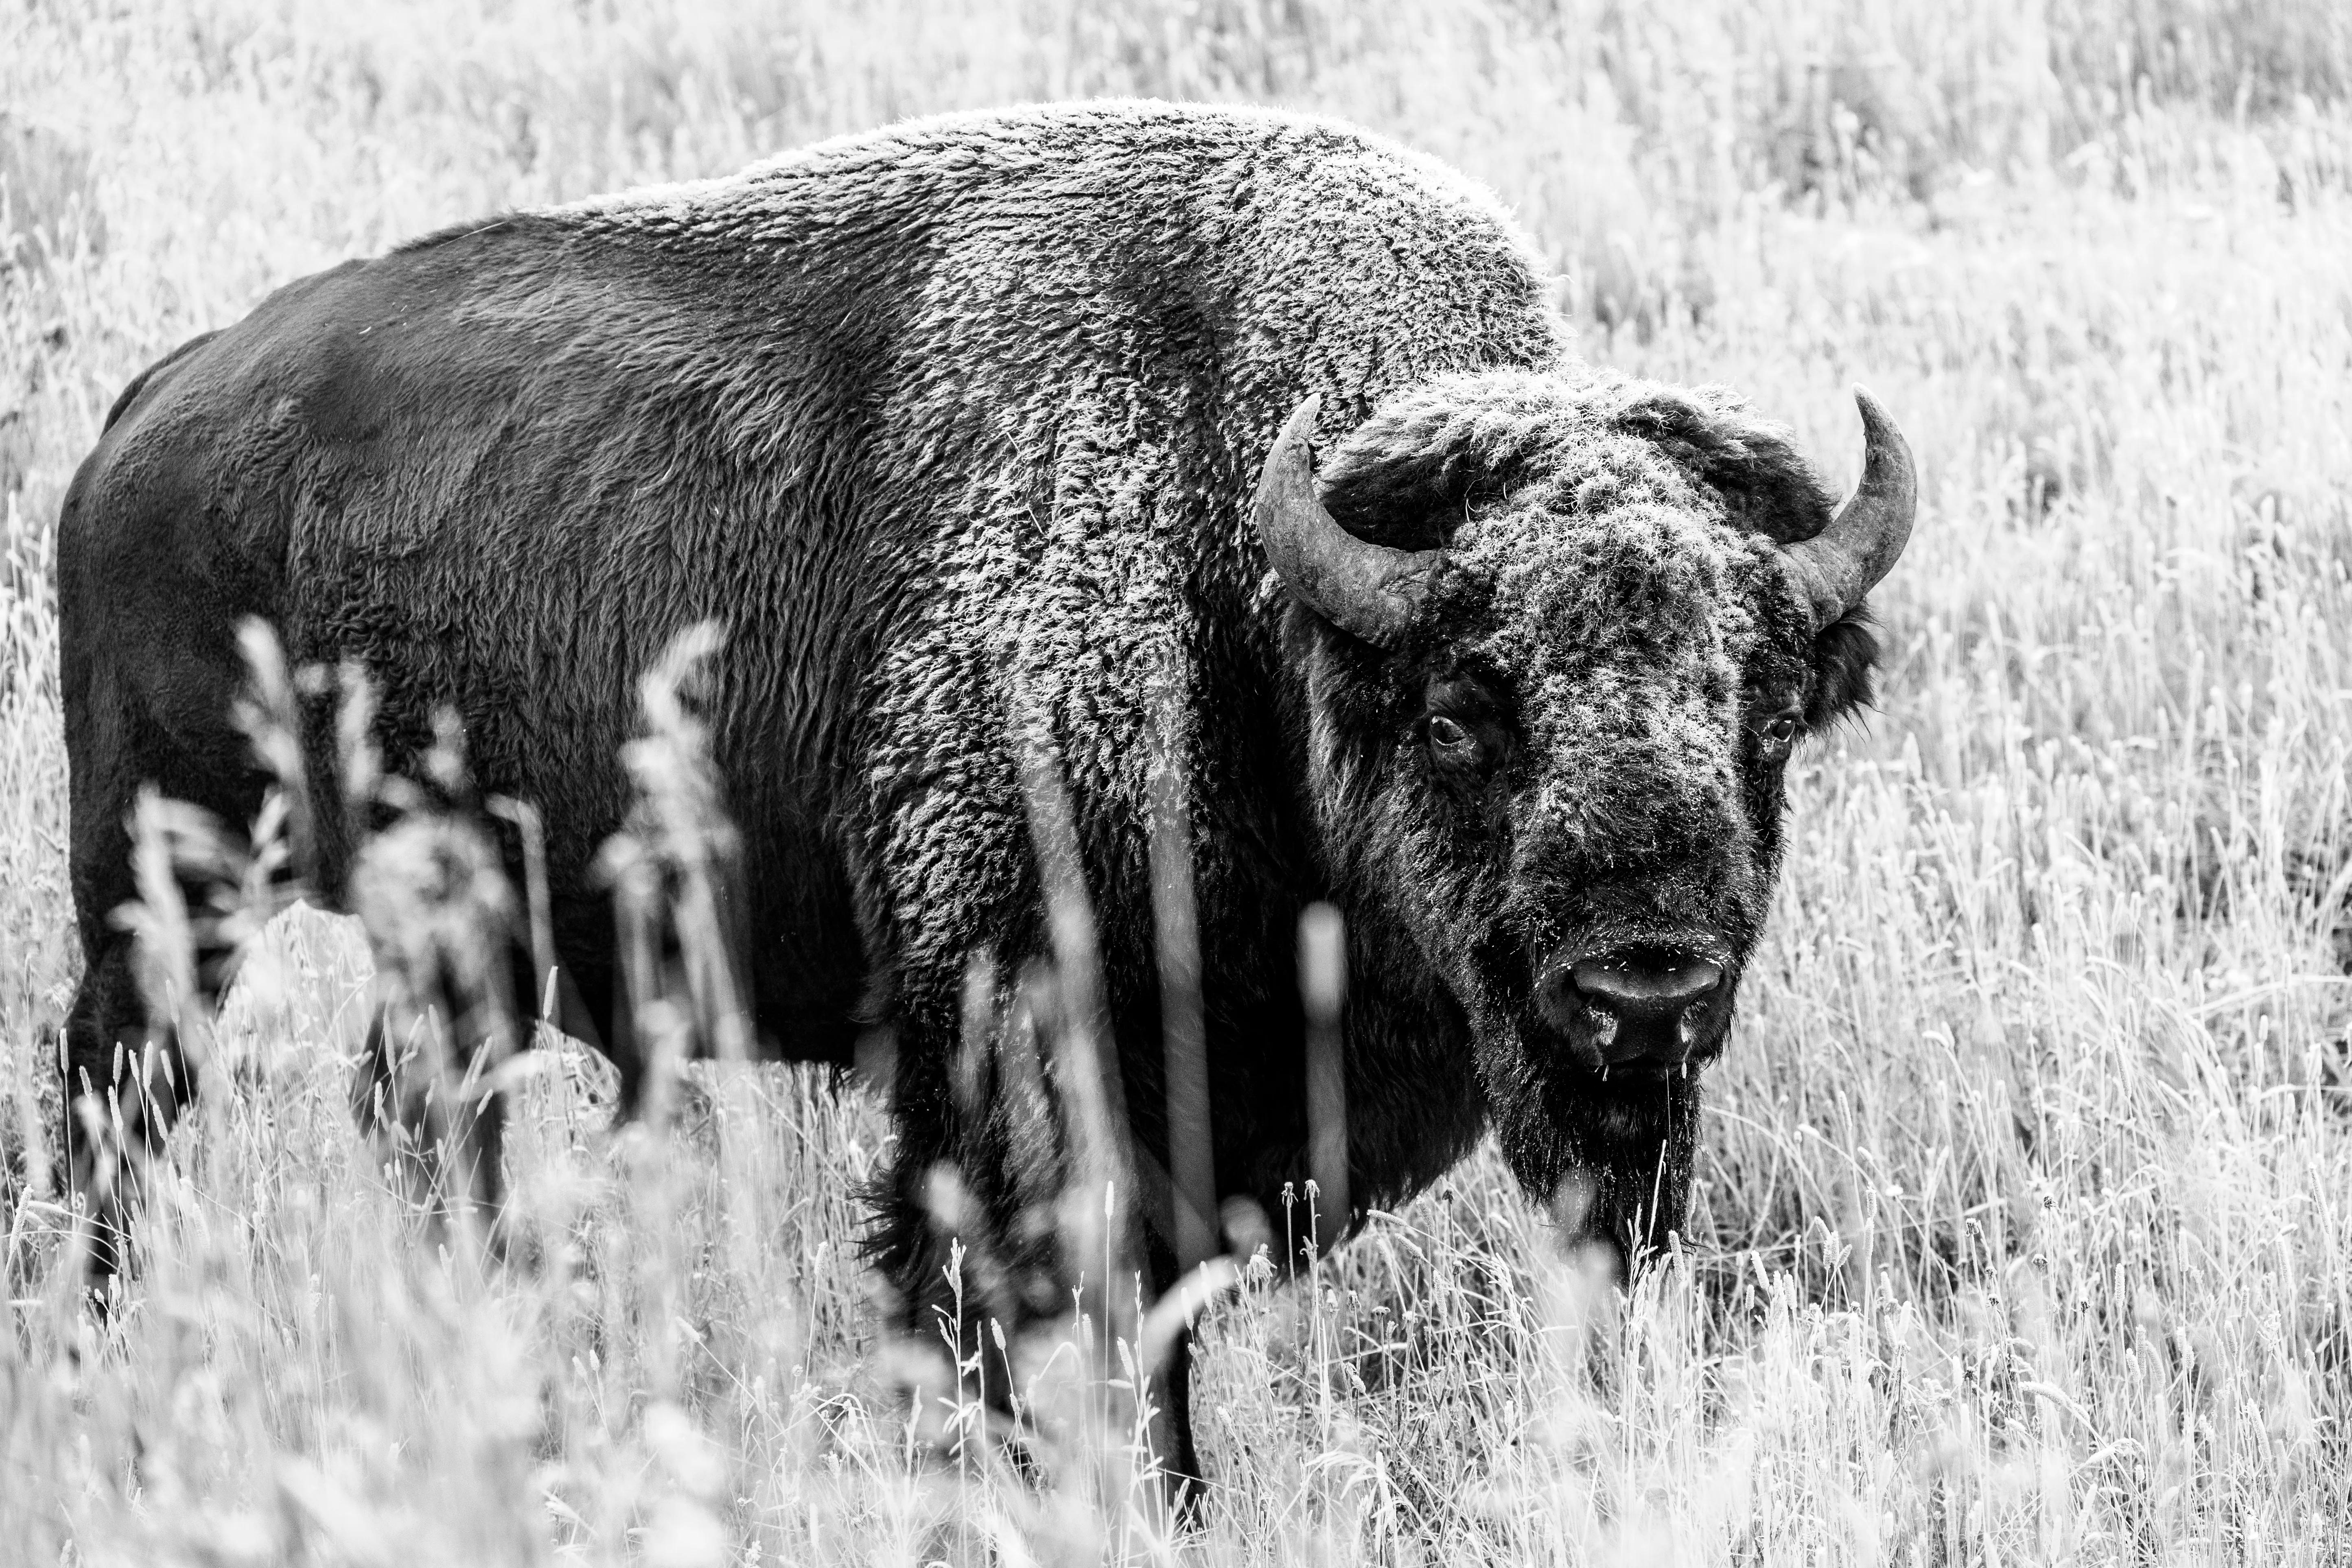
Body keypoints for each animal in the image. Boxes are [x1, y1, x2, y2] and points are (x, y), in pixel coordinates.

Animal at [58, 101, 1913, 1494]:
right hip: (164, 890)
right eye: (1465, 705)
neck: (1253, 571)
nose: (1644, 981)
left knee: (419, 1120)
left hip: (454, 939)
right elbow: (1012, 1314)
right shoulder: (1012, 1047)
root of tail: (153, 409)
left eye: (1764, 708)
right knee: (119, 1111)